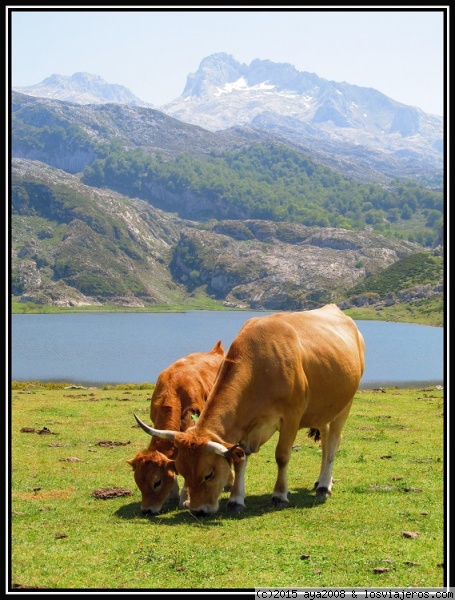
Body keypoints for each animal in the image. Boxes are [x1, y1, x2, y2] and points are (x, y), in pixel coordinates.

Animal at [127, 340, 225, 512]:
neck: (174, 387)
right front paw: (172, 494)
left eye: (157, 482)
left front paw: (185, 498)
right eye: (138, 482)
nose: (147, 510)